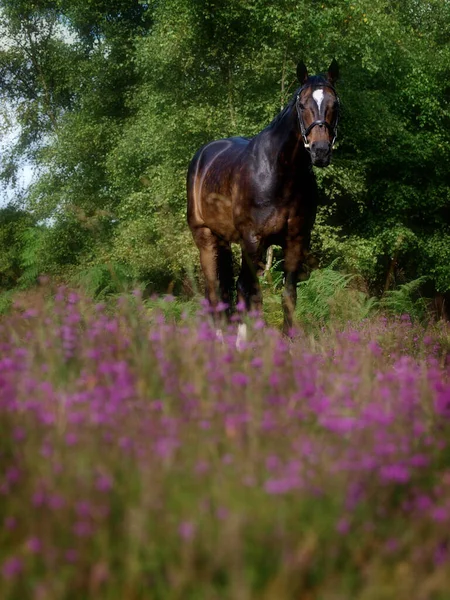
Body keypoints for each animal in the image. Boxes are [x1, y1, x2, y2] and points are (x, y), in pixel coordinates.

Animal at [187, 59, 342, 332]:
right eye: (302, 104)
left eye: (335, 104)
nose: (320, 151)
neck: (280, 174)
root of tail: (201, 157)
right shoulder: (252, 241)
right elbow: (249, 292)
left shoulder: (295, 241)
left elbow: (288, 295)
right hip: (205, 237)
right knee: (217, 291)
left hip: (223, 240)